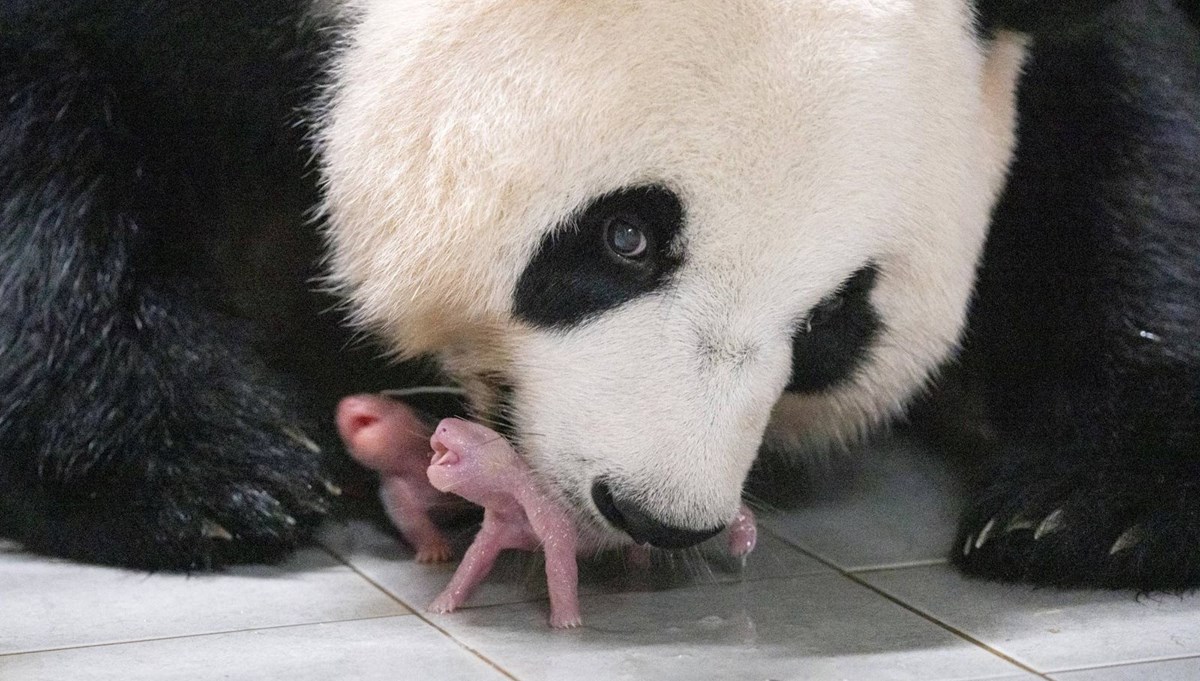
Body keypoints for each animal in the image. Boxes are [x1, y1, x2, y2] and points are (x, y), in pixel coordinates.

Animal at [2, 0, 1200, 589]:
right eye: (627, 237)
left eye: (833, 323)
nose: (657, 513)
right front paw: (199, 470)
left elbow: (1127, 134)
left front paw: (1099, 507)